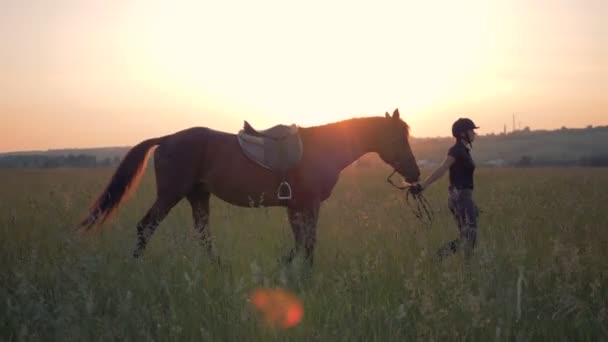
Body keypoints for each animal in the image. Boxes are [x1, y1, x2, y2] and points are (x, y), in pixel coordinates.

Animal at [78, 108, 420, 264]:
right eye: (398, 138)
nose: (415, 173)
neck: (321, 148)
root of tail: (167, 139)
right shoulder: (307, 205)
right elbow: (308, 242)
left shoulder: (298, 207)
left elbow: (302, 241)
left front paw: (290, 266)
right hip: (171, 195)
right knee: (145, 226)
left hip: (198, 196)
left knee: (203, 234)